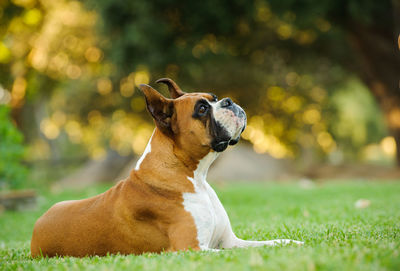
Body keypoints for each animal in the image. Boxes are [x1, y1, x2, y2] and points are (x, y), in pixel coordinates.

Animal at [31, 79, 302, 260]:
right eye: (201, 109)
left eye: (214, 98)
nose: (229, 101)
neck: (196, 177)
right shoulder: (191, 248)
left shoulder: (230, 241)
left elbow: (269, 242)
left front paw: (293, 242)